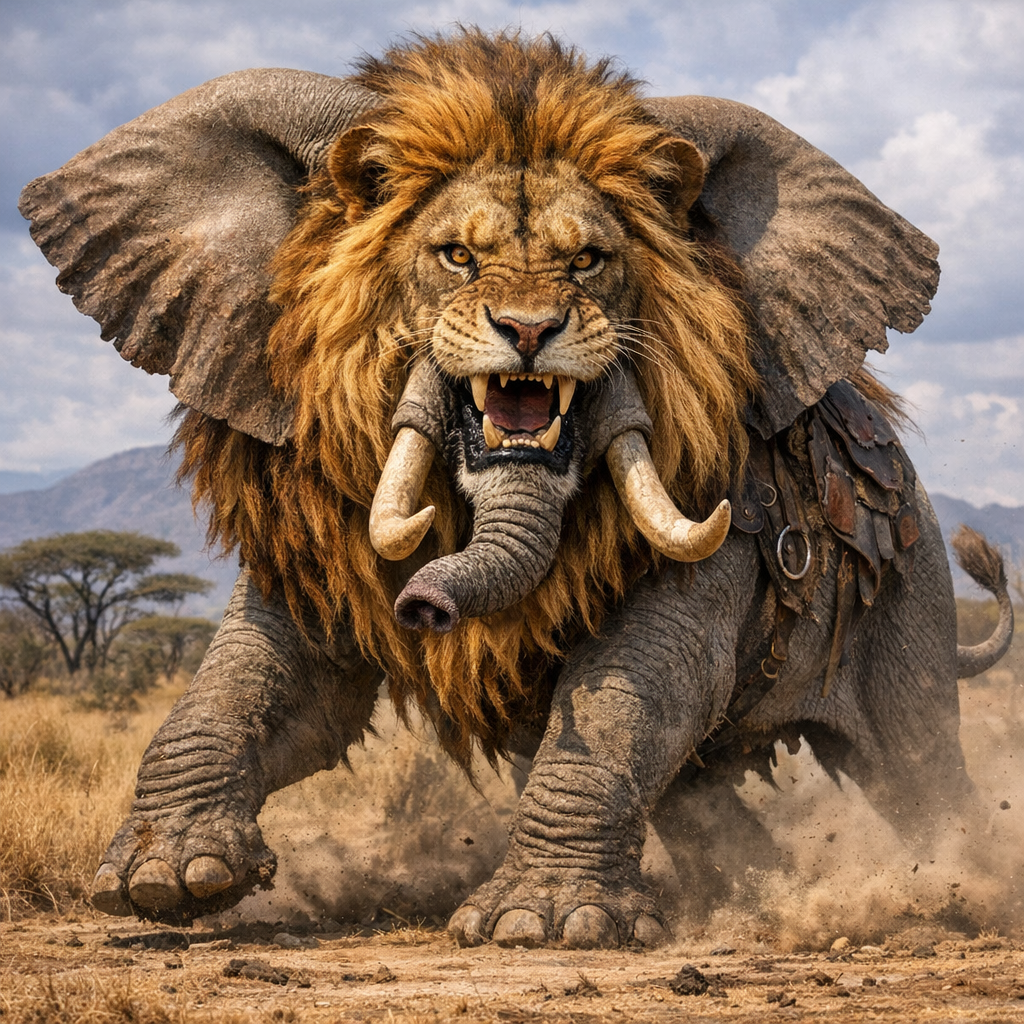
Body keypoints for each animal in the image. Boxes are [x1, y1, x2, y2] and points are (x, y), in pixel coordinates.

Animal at [19, 30, 1014, 948]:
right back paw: (744, 894)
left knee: (917, 764)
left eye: (591, 261)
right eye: (456, 255)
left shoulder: (722, 511)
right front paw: (163, 879)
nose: (529, 332)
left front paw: (542, 925)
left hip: (910, 610)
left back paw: (958, 887)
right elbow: (259, 680)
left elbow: (635, 689)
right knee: (694, 796)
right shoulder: (305, 517)